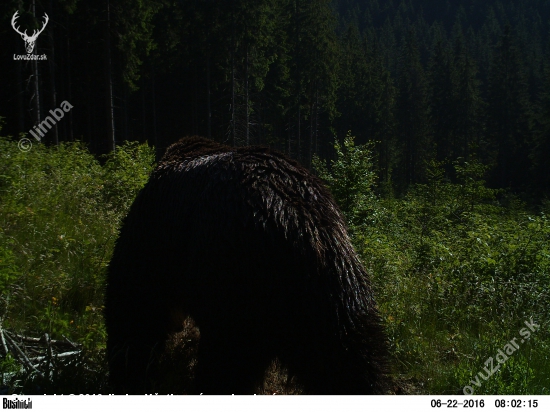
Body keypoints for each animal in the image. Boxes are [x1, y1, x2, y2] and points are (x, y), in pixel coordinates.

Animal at [105, 137, 390, 394]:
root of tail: (292, 219)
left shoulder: (154, 236)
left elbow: (135, 313)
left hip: (234, 280)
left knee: (226, 363)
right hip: (335, 284)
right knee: (351, 357)